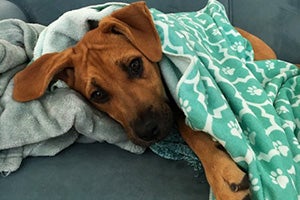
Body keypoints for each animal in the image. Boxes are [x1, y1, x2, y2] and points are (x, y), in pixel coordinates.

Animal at [12, 1, 278, 200]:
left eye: (135, 64)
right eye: (98, 95)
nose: (149, 130)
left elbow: (185, 123)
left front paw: (222, 174)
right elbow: (185, 126)